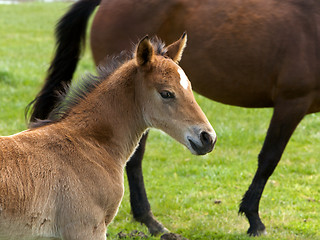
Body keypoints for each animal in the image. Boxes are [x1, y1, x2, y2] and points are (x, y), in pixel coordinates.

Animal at [26, 0, 320, 236]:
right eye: (166, 93)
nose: (208, 138)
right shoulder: (292, 101)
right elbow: (269, 159)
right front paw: (253, 219)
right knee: (135, 161)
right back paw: (149, 220)